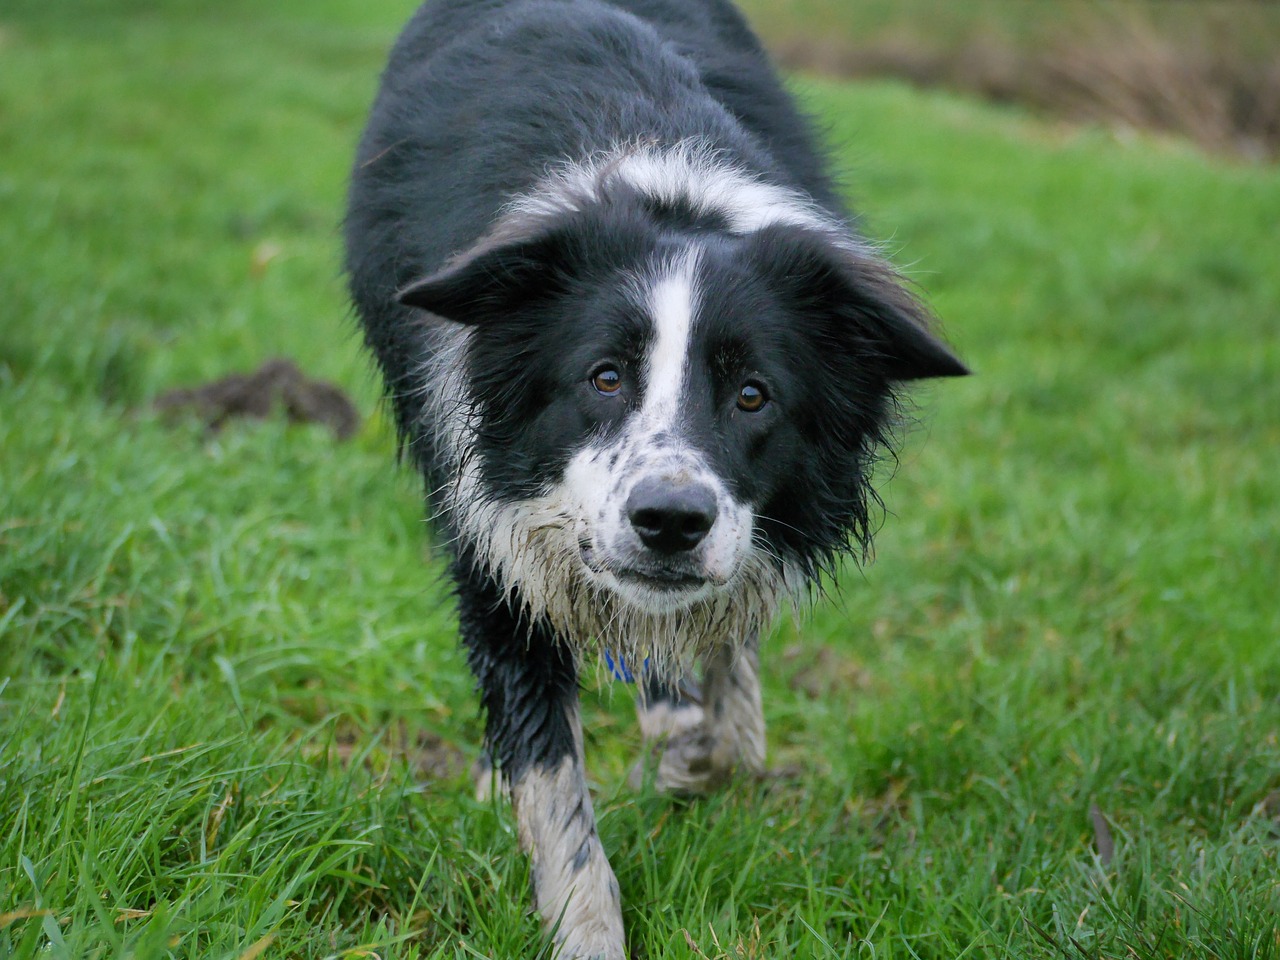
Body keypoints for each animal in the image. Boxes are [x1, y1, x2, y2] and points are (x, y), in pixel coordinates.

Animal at [345, 0, 962, 957]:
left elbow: (725, 694)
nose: (669, 521)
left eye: (753, 395)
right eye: (603, 377)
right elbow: (547, 765)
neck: (666, 196)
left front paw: (698, 754)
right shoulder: (485, 506)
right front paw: (586, 925)